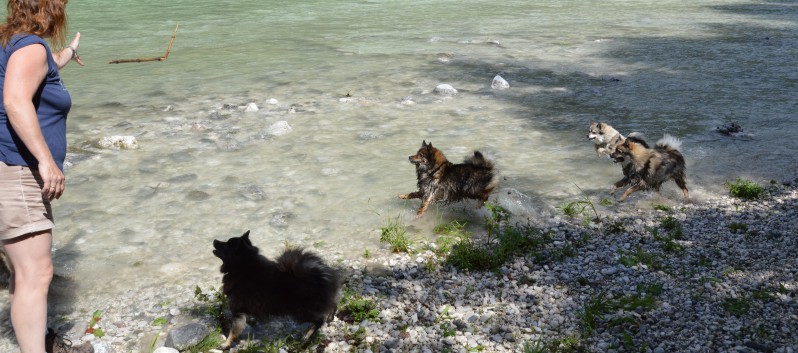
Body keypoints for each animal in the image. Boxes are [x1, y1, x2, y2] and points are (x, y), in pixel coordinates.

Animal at [212, 230, 340, 348]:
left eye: (225, 245)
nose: (214, 240)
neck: (244, 265)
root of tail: (317, 277)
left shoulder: (237, 310)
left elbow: (233, 331)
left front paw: (225, 344)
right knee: (333, 304)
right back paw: (330, 318)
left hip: (301, 312)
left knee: (319, 320)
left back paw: (306, 336)